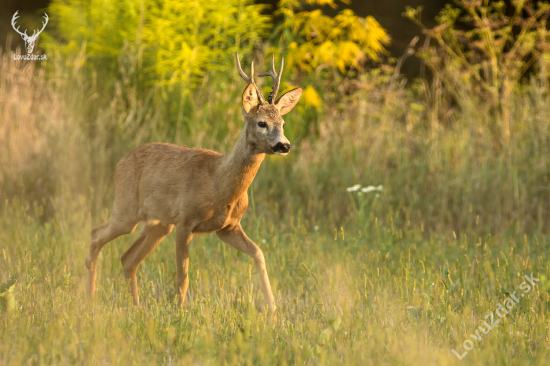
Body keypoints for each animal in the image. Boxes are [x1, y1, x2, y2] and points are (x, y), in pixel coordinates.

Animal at [84, 52, 304, 314]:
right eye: (262, 123)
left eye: (282, 123)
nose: (284, 145)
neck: (218, 185)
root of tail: (119, 163)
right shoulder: (185, 220)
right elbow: (183, 276)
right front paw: (180, 313)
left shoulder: (228, 227)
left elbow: (259, 254)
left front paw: (272, 311)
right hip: (126, 208)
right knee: (96, 235)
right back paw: (89, 299)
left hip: (158, 223)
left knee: (128, 258)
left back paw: (135, 307)